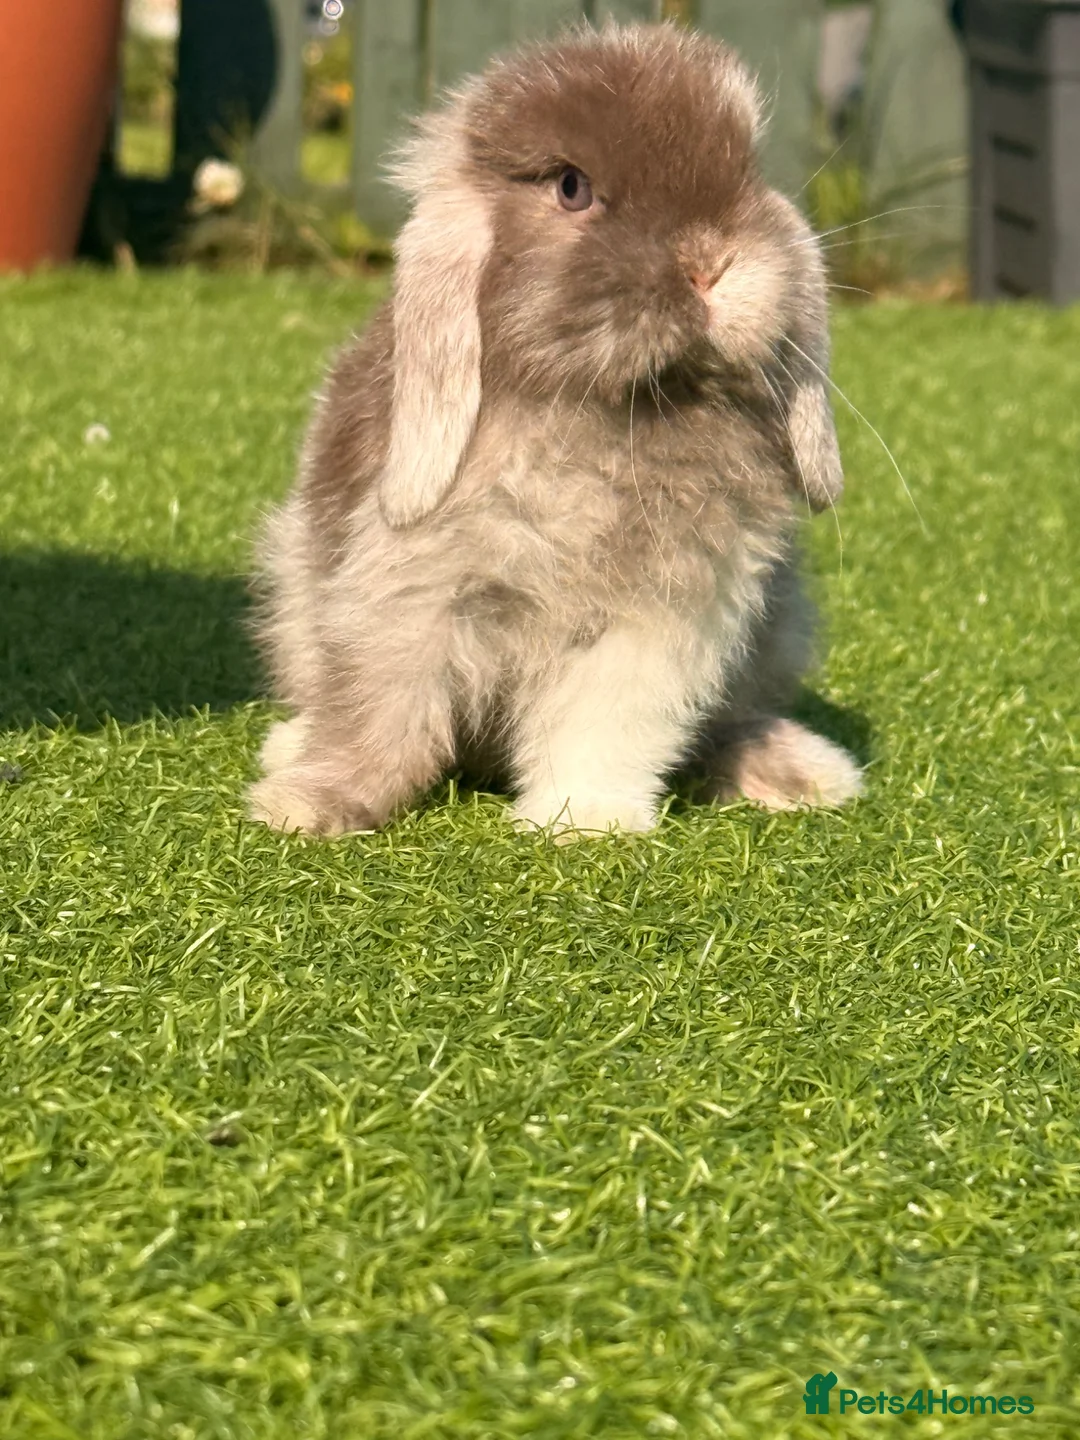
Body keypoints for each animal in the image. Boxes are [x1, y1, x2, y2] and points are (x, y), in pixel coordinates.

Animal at [249, 20, 863, 838]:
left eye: (746, 172)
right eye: (572, 187)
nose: (711, 262)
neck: (616, 410)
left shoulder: (658, 621)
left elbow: (605, 724)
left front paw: (585, 820)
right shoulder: (403, 599)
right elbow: (378, 717)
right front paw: (305, 807)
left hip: (776, 626)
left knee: (730, 721)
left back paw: (799, 771)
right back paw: (288, 745)